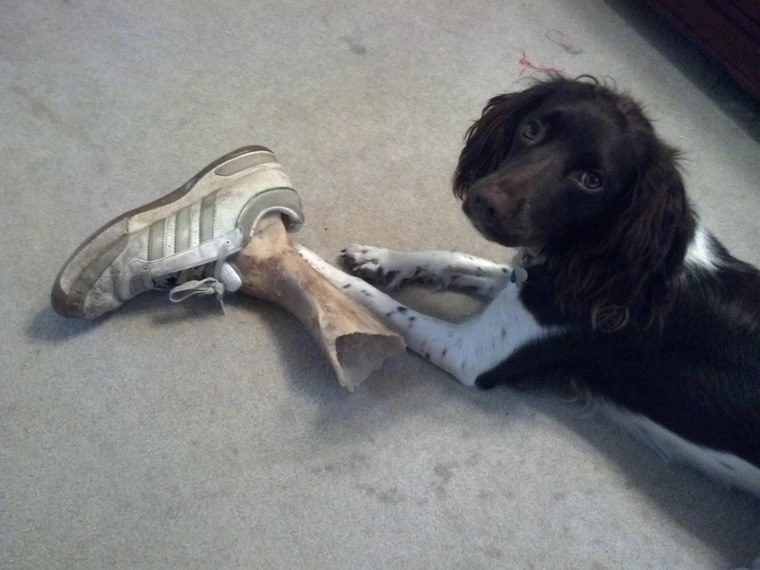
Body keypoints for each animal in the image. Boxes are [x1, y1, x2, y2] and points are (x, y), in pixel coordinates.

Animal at [300, 76, 756, 496]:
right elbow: (453, 259)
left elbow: (384, 304)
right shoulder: (526, 282)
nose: (484, 202)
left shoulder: (469, 354)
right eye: (531, 129)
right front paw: (381, 259)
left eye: (592, 180)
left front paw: (308, 265)